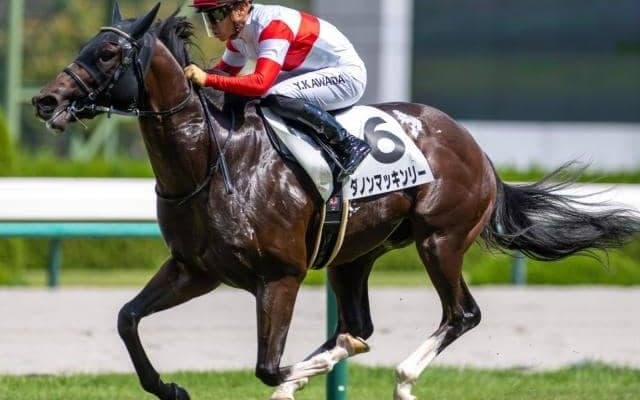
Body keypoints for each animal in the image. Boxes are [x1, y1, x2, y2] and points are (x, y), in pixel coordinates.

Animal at [32, 4, 640, 400]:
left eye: (109, 53)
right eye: (85, 47)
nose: (46, 100)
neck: (211, 162)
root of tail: (476, 147)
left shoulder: (280, 276)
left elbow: (270, 366)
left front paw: (299, 376)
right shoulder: (194, 269)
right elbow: (127, 318)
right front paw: (171, 387)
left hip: (440, 239)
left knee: (460, 313)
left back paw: (402, 379)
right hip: (354, 253)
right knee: (361, 322)